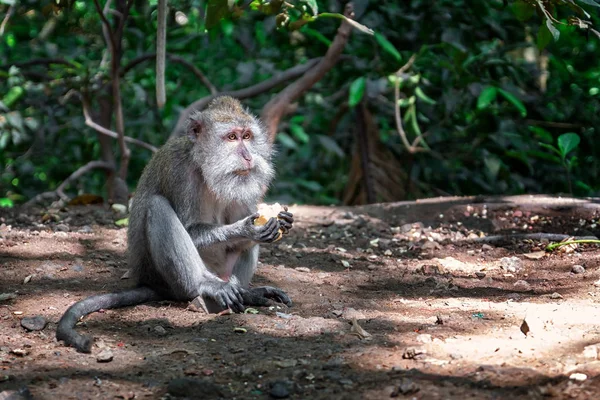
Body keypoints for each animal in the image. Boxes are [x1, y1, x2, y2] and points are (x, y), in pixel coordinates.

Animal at [55, 97, 294, 354]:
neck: (204, 167)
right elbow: (190, 228)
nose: (249, 157)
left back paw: (247, 294)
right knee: (157, 207)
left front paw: (280, 221)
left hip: (223, 272)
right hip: (165, 278)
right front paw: (245, 228)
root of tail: (148, 281)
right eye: (232, 137)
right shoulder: (179, 173)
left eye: (247, 136)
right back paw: (204, 288)